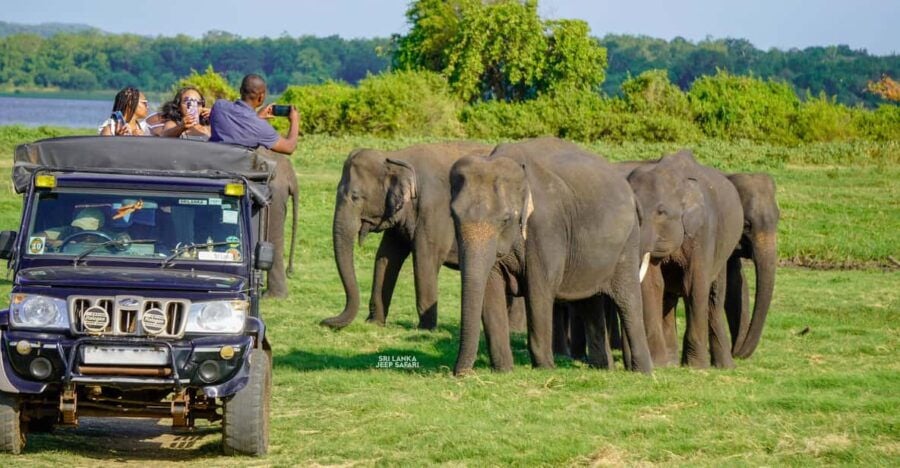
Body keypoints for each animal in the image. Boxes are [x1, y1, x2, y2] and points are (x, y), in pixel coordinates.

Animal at [319, 142, 530, 331]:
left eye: (355, 196)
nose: (323, 322)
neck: (395, 156)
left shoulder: (435, 210)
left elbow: (425, 258)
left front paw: (425, 329)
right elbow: (386, 257)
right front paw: (374, 323)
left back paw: (514, 329)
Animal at [449, 137, 653, 375]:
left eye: (505, 219)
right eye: (453, 215)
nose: (458, 373)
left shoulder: (546, 227)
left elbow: (539, 288)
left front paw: (545, 368)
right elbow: (490, 288)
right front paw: (504, 371)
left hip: (628, 243)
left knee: (628, 300)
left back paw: (643, 372)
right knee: (590, 301)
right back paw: (603, 367)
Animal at [626, 151, 744, 368]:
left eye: (661, 212)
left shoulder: (703, 231)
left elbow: (694, 285)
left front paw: (697, 366)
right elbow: (653, 285)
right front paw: (659, 364)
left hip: (723, 250)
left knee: (714, 298)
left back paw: (724, 366)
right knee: (668, 297)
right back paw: (672, 362)